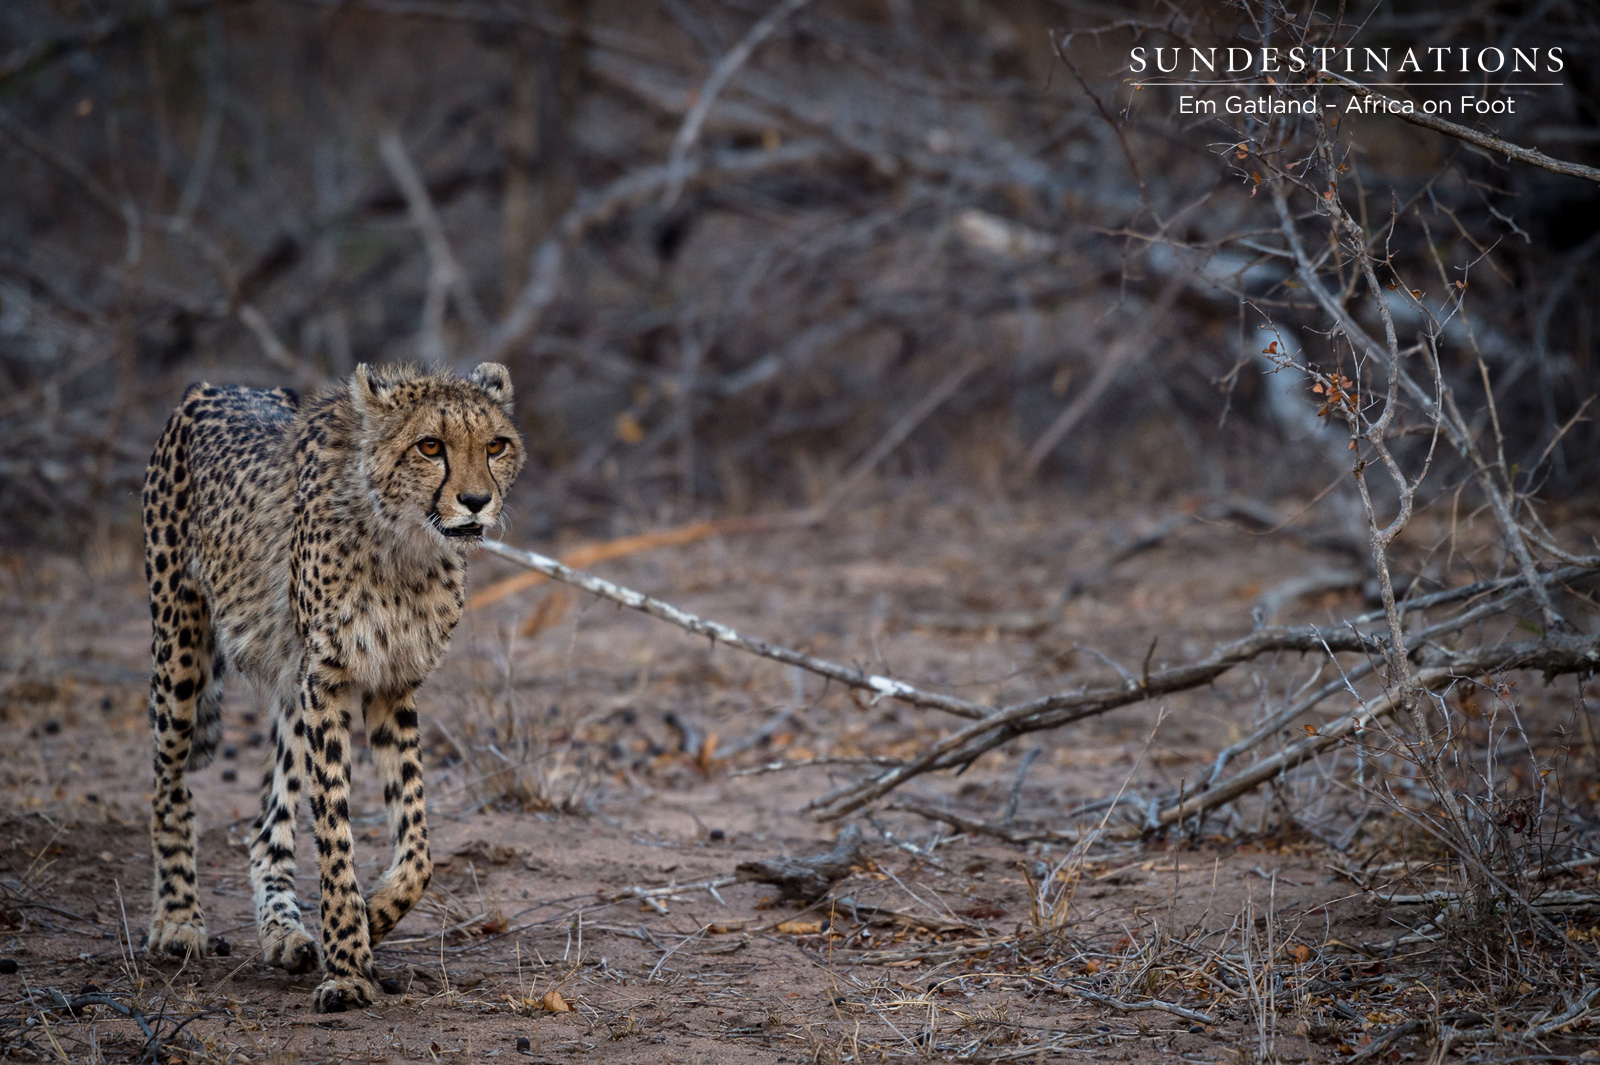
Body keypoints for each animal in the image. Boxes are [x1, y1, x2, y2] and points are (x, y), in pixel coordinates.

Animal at [140, 361, 524, 1012]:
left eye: (496, 445)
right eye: (430, 446)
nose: (476, 501)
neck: (402, 538)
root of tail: (216, 385)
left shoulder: (393, 683)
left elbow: (418, 845)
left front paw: (371, 919)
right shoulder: (329, 678)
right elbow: (335, 831)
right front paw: (347, 962)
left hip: (289, 685)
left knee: (266, 828)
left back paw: (284, 933)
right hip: (181, 646)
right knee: (171, 786)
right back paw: (178, 919)